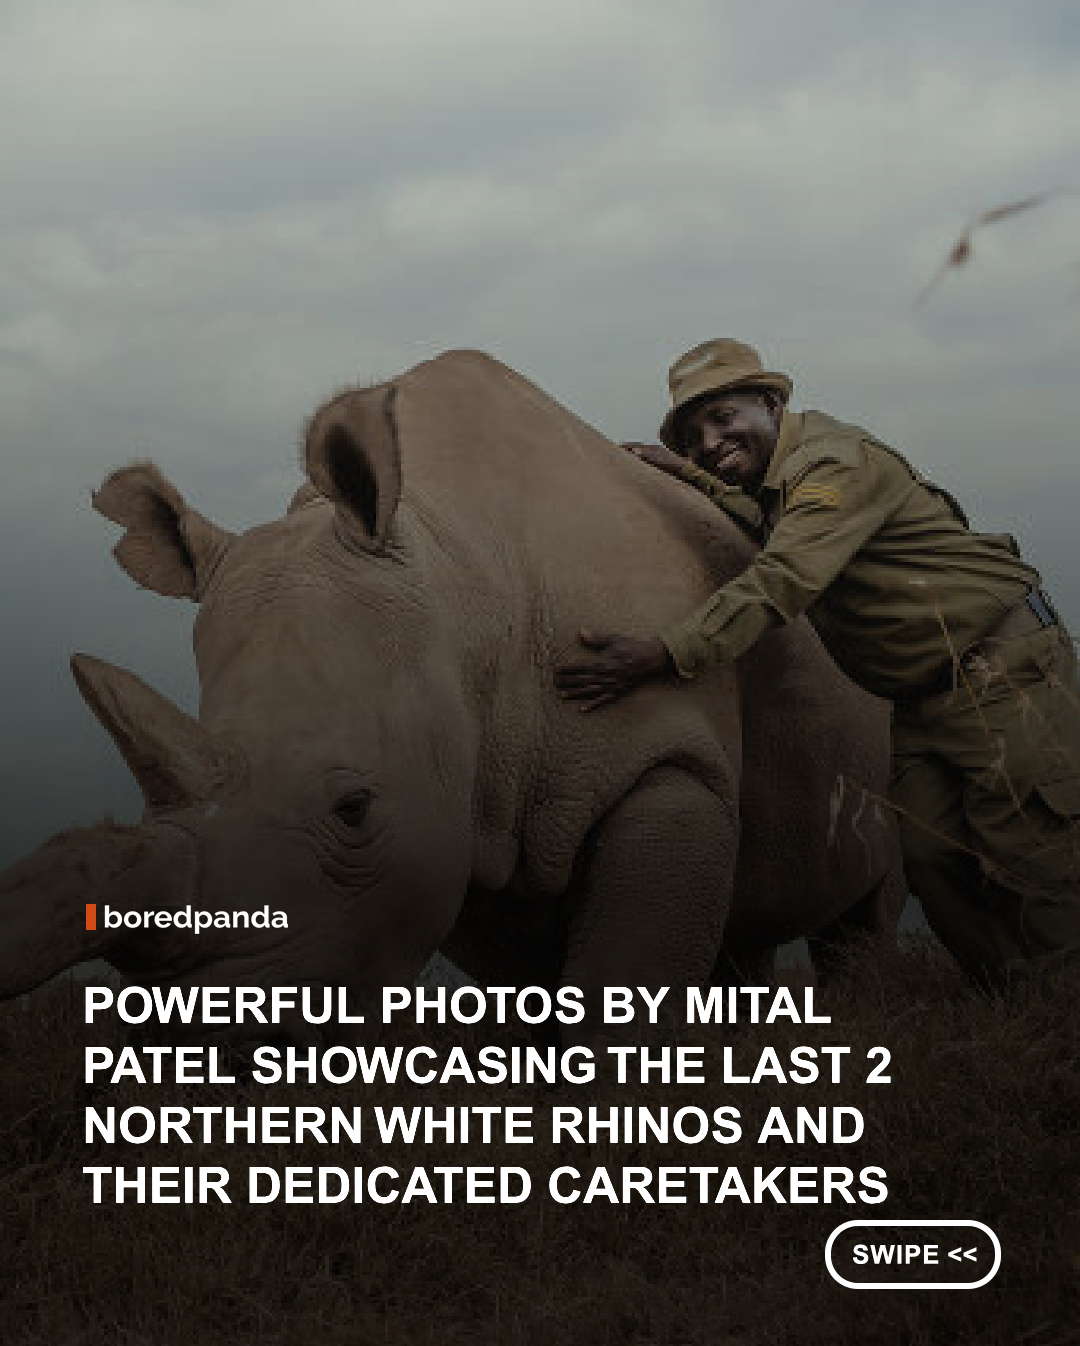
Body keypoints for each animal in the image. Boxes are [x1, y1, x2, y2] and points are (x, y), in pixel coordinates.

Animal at [0, 351, 902, 1045]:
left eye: (355, 808)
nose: (210, 1047)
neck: (464, 588)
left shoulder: (668, 765)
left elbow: (625, 976)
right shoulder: (463, 812)